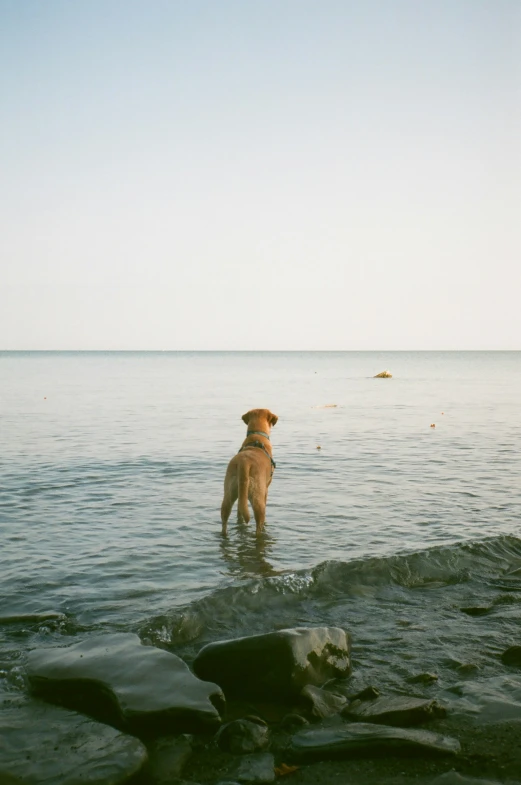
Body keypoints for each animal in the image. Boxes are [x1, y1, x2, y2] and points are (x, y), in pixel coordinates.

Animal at [220, 408, 278, 536]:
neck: (257, 436)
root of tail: (244, 462)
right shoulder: (266, 489)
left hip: (230, 492)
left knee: (224, 519)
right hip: (257, 497)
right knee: (259, 525)